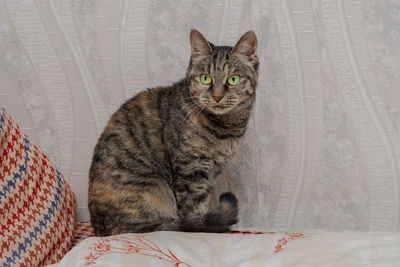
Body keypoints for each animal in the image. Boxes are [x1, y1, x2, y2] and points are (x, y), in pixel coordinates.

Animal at [88, 29, 260, 237]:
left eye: (233, 79)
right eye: (205, 78)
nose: (217, 96)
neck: (226, 130)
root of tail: (100, 229)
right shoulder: (191, 172)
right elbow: (194, 209)